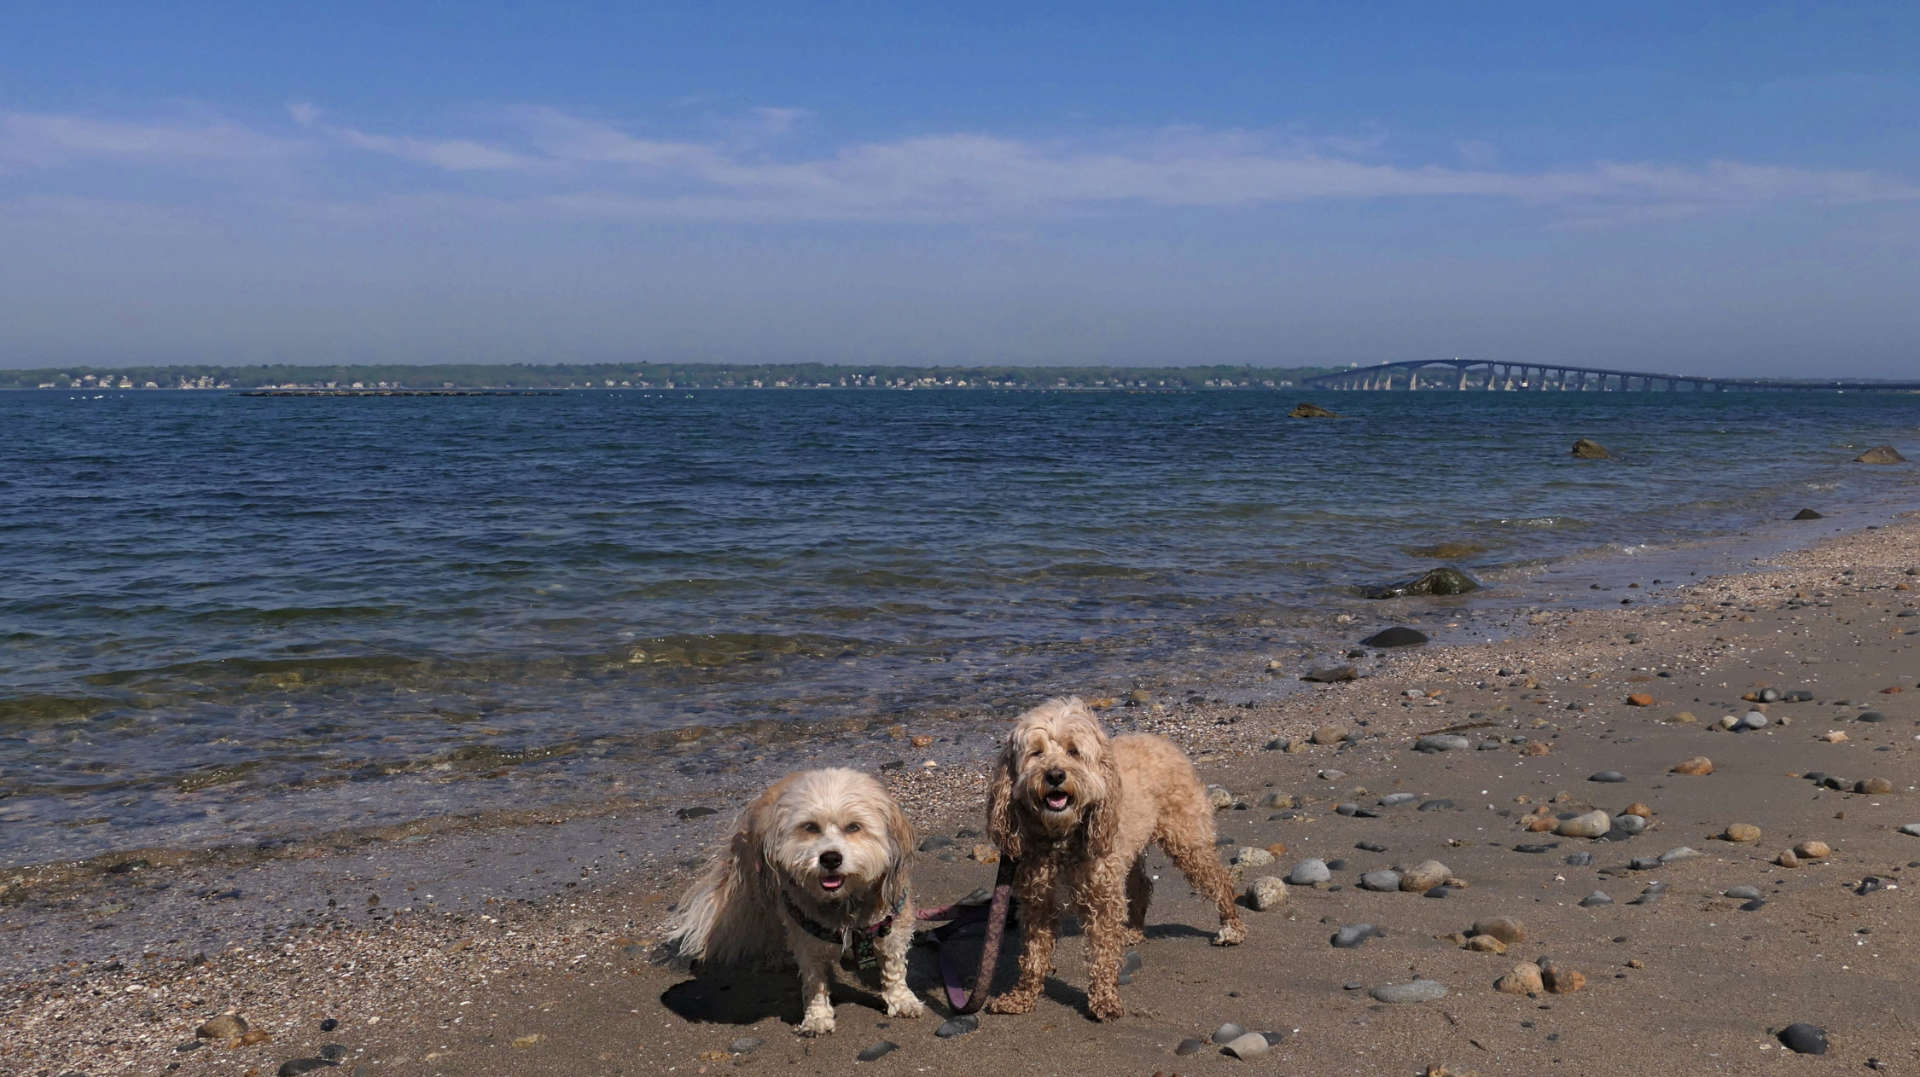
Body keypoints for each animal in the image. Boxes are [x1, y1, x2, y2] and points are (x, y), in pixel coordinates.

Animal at [664, 764, 925, 1036]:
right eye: (810, 827)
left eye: (854, 827)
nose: (830, 858)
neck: (844, 902)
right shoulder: (805, 935)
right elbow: (814, 979)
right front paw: (817, 1017)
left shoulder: (892, 924)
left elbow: (894, 966)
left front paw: (902, 1000)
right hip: (764, 893)